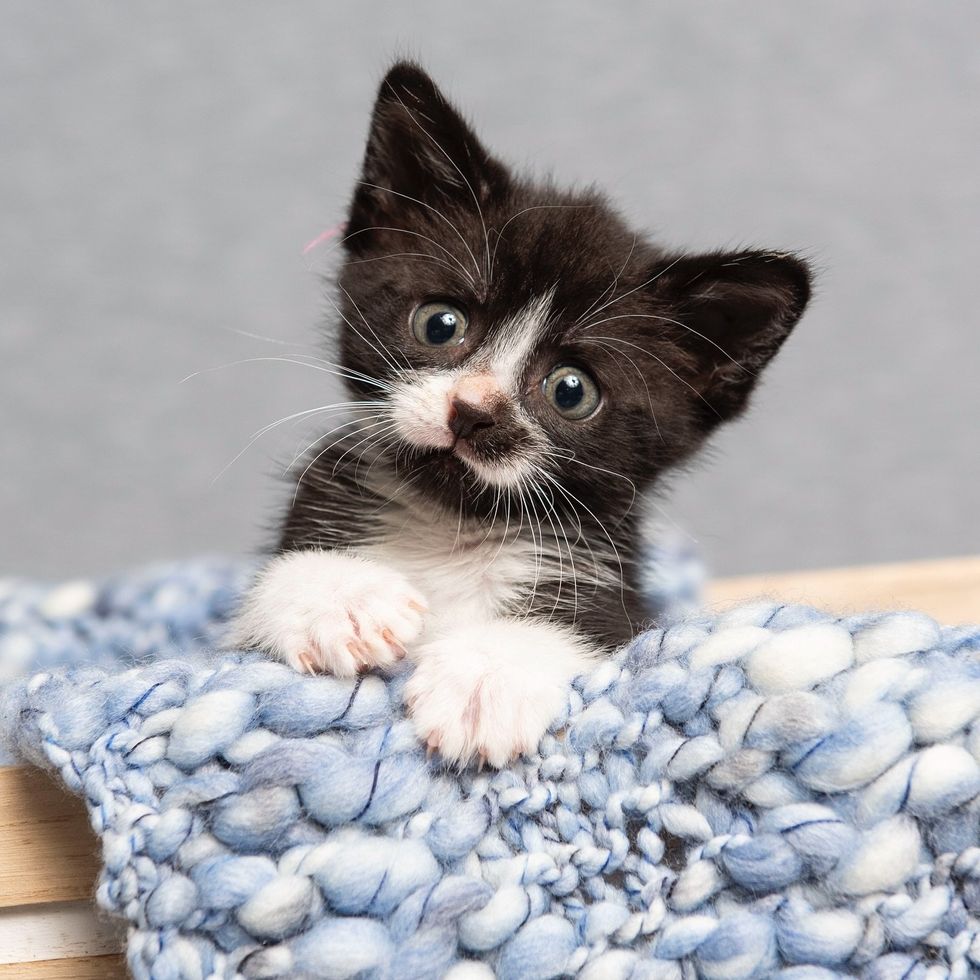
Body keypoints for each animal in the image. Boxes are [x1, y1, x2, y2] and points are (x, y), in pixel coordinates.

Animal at [232, 61, 812, 768]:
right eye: (441, 323)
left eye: (570, 391)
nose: (472, 411)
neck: (452, 527)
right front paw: (342, 600)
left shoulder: (610, 597)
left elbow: (573, 632)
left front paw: (485, 681)